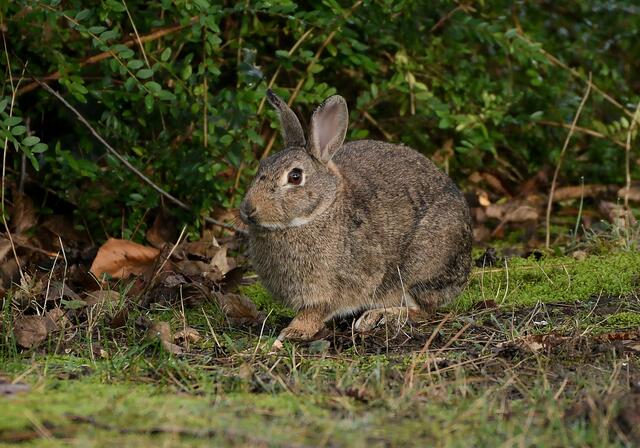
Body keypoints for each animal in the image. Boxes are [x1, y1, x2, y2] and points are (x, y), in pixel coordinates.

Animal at [240, 90, 472, 344]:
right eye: (262, 165)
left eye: (295, 176)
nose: (248, 209)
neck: (320, 212)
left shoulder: (339, 287)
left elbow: (316, 311)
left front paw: (294, 330)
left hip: (419, 268)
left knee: (424, 309)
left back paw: (377, 317)